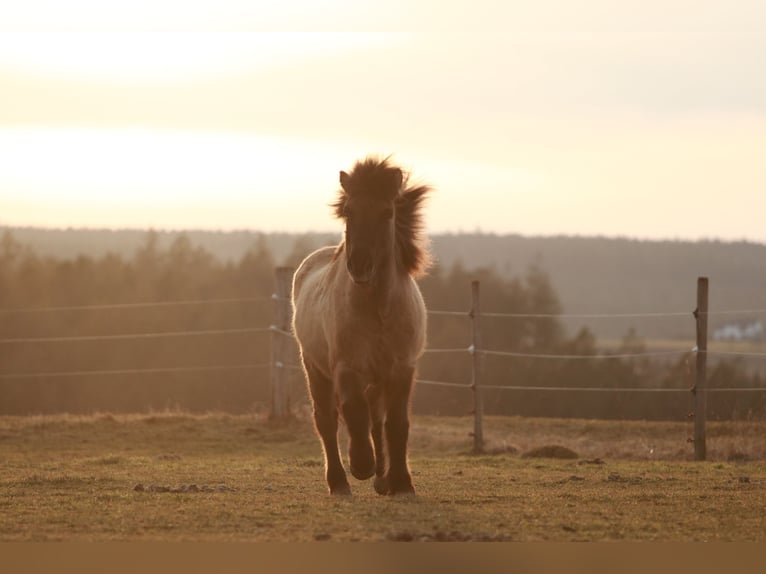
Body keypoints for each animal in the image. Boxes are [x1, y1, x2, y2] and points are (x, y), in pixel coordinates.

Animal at [292, 156, 432, 496]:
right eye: (349, 211)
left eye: (387, 212)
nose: (360, 266)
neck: (378, 309)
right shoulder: (347, 367)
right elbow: (354, 412)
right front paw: (361, 465)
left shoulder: (401, 368)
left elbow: (396, 424)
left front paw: (400, 482)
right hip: (314, 367)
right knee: (327, 420)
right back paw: (339, 482)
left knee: (377, 419)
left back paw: (382, 480)